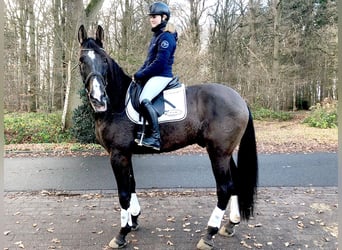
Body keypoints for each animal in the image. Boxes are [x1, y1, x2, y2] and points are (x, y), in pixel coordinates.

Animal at [78, 25, 260, 250]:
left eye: (104, 59)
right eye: (81, 61)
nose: (98, 99)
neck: (118, 102)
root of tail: (239, 99)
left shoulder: (118, 154)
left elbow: (123, 193)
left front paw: (122, 233)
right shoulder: (126, 154)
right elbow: (132, 185)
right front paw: (134, 220)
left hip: (218, 153)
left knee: (224, 188)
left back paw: (209, 234)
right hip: (226, 153)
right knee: (234, 183)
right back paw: (229, 225)